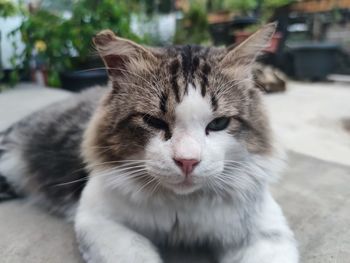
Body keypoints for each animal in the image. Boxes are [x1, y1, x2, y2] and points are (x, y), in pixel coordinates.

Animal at [0, 23, 300, 262]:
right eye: (153, 121)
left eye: (218, 124)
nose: (187, 161)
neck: (182, 207)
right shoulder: (97, 220)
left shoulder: (266, 233)